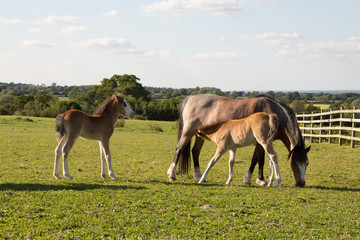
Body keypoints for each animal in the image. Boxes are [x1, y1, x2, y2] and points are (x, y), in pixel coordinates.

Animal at [166, 94, 310, 188]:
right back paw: (172, 175)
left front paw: (255, 179)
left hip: (199, 135)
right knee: (179, 149)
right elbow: (258, 159)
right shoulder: (260, 142)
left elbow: (258, 159)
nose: (301, 183)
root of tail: (191, 98)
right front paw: (257, 179)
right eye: (295, 163)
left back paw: (198, 176)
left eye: (307, 163)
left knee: (195, 151)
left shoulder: (263, 142)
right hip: (188, 132)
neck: (273, 112)